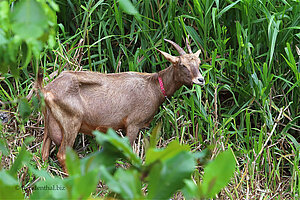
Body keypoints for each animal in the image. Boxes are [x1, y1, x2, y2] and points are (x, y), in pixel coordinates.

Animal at [38, 39, 204, 172]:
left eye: (198, 62)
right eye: (182, 64)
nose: (200, 80)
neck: (153, 87)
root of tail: (47, 90)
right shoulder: (133, 124)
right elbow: (129, 153)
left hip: (49, 122)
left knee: (44, 154)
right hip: (71, 122)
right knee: (62, 155)